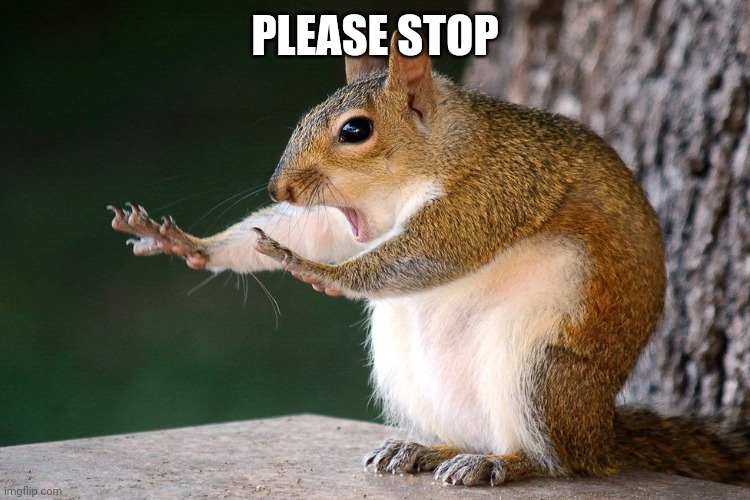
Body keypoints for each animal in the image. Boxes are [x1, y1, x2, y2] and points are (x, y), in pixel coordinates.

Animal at [108, 32, 750, 486]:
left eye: (355, 130)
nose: (279, 188)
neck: (442, 151)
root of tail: (601, 436)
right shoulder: (347, 217)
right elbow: (314, 229)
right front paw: (190, 244)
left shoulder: (497, 189)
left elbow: (433, 251)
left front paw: (321, 272)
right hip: (409, 368)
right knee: (466, 435)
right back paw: (422, 448)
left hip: (540, 368)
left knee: (559, 461)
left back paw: (506, 464)